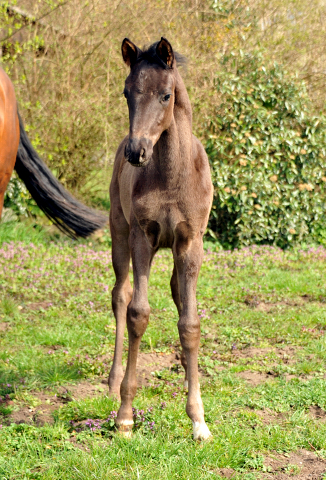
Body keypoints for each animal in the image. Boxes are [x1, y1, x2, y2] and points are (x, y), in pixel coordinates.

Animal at [108, 37, 213, 440]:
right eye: (127, 93)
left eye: (166, 95)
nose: (136, 151)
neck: (171, 176)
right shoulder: (142, 237)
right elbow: (138, 313)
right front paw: (124, 416)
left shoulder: (191, 243)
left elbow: (189, 322)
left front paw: (198, 418)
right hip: (118, 233)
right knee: (119, 295)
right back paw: (112, 380)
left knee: (176, 296)